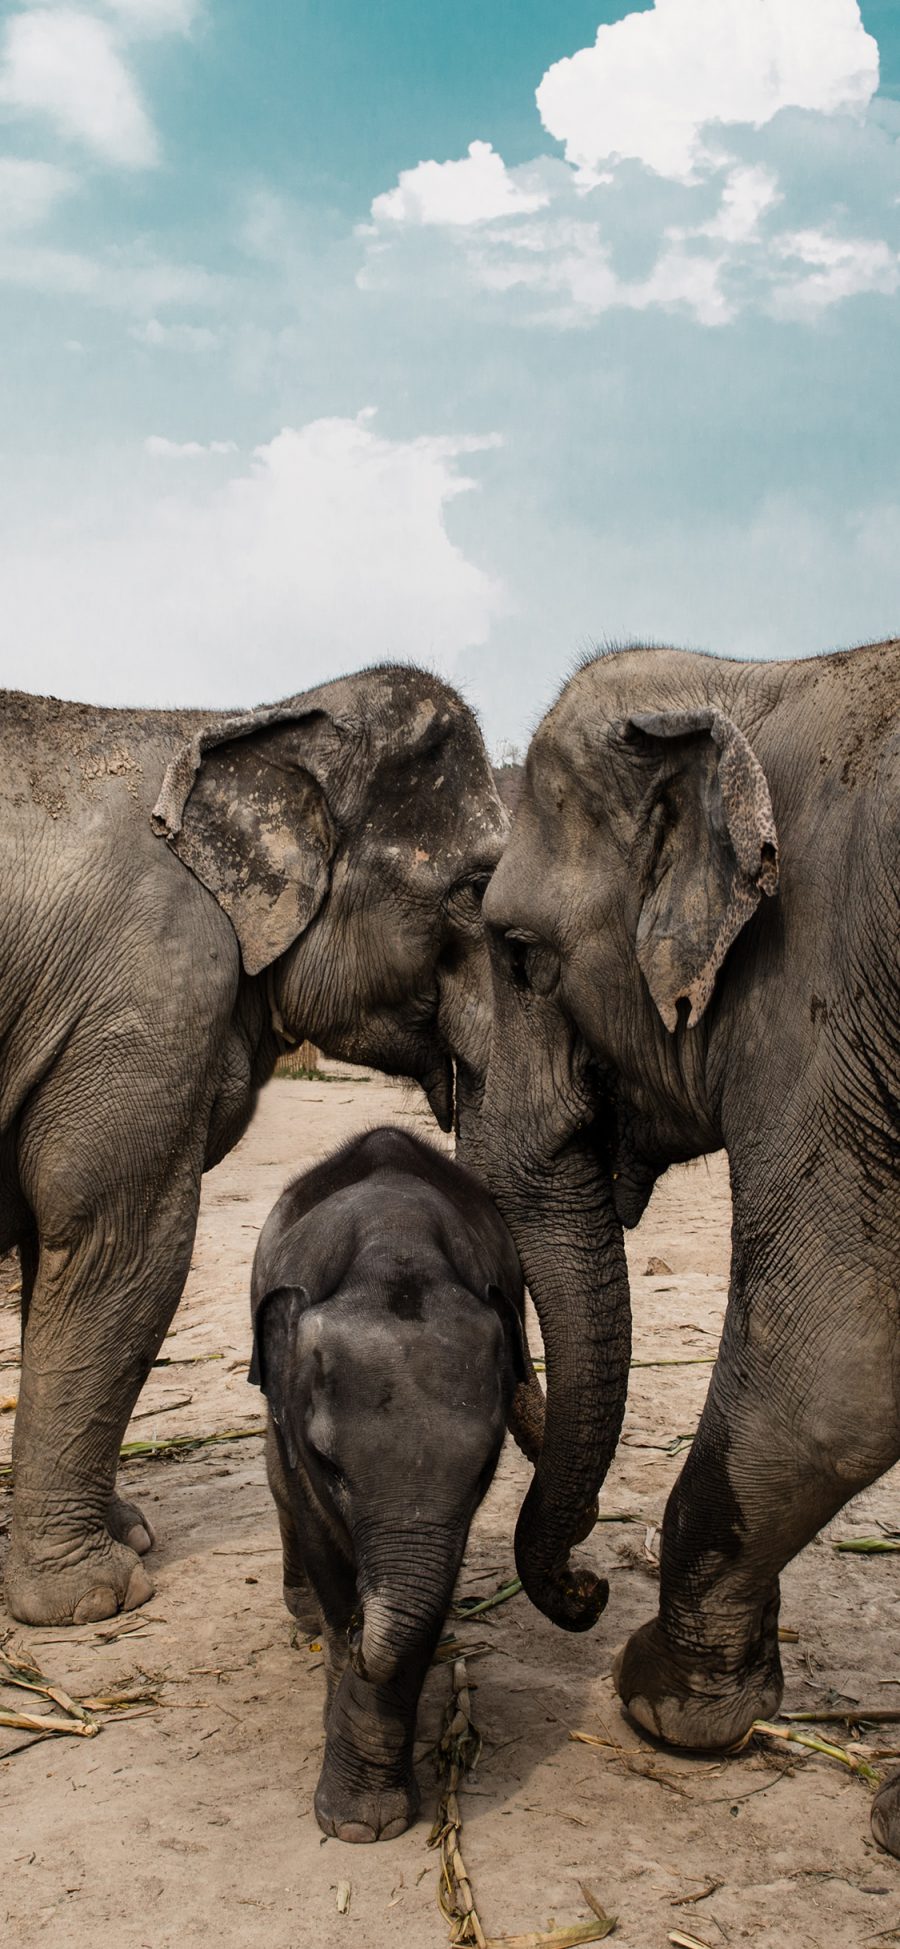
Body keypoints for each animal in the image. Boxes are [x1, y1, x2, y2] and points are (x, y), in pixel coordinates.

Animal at [0, 670, 506, 1629]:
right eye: (474, 886)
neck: (244, 722)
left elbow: (57, 1246)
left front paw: (128, 1535)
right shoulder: (154, 987)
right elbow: (116, 1242)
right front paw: (94, 1599)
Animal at [249, 1130, 537, 1839]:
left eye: (486, 1464)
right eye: (329, 1465)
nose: (355, 1640)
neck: (394, 1249)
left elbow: (430, 1595)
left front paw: (364, 1823)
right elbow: (315, 1528)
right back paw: (308, 1618)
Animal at [471, 643, 900, 1855]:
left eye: (519, 954)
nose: (584, 1592)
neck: (756, 680)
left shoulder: (820, 998)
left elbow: (831, 1371)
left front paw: (664, 1705)